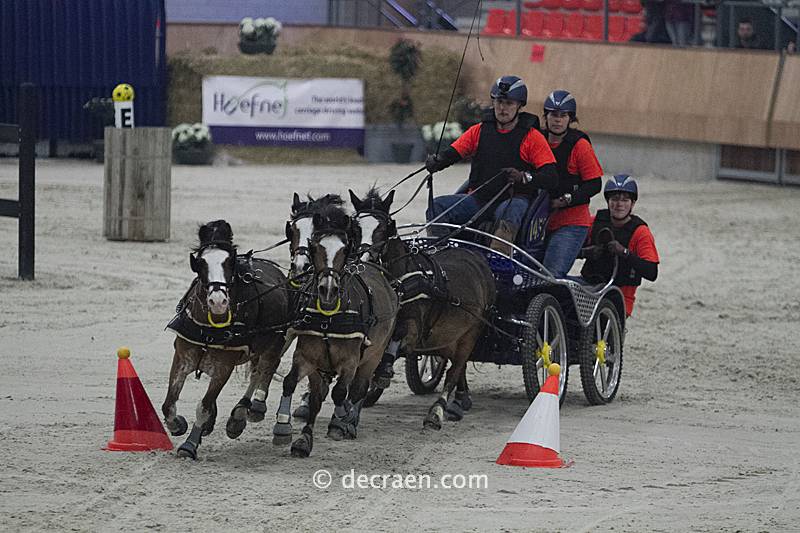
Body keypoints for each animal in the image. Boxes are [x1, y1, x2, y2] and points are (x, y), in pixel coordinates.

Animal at [162, 220, 290, 459]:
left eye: (229, 262)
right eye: (201, 263)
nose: (218, 301)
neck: (209, 327)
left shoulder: (224, 367)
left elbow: (203, 406)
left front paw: (190, 445)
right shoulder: (182, 358)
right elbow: (169, 404)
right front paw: (178, 425)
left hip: (276, 341)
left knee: (265, 369)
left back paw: (246, 412)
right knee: (257, 370)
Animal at [274, 203, 399, 457]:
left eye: (344, 249)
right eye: (315, 246)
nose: (328, 288)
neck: (328, 316)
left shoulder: (350, 360)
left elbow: (341, 392)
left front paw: (339, 422)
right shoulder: (308, 357)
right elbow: (297, 386)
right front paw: (299, 436)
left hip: (374, 355)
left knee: (359, 388)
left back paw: (349, 420)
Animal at [349, 187, 497, 429]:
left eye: (384, 227)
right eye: (355, 227)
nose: (363, 258)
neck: (399, 282)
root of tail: (477, 257)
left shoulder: (413, 329)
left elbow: (396, 341)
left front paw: (382, 372)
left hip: (472, 331)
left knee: (455, 370)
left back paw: (437, 412)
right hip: (450, 336)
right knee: (456, 364)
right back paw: (461, 399)